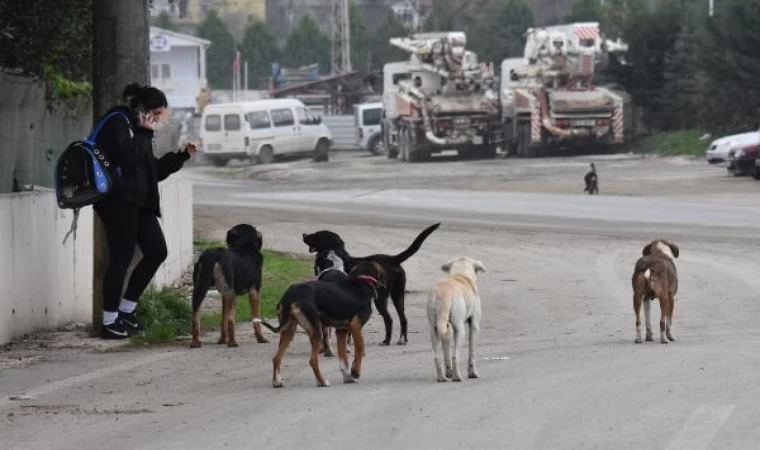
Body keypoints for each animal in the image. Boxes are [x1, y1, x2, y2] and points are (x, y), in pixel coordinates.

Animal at [256, 262, 386, 388]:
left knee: (276, 358)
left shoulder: (341, 331)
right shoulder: (356, 326)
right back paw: (322, 382)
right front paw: (355, 372)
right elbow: (360, 349)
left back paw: (277, 382)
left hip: (289, 330)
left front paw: (348, 378)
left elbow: (343, 360)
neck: (363, 280)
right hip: (316, 330)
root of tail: (291, 294)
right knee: (312, 360)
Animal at [302, 221, 442, 344]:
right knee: (403, 319)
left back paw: (387, 341)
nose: (303, 234)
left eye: (317, 235)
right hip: (398, 295)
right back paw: (401, 340)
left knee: (389, 319)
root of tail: (393, 259)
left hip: (380, 298)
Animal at [428, 256, 486, 384]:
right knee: (455, 356)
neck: (460, 275)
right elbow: (472, 352)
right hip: (460, 330)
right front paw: (473, 373)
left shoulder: (447, 328)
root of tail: (443, 293)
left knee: (437, 356)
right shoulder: (474, 325)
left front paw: (448, 373)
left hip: (434, 329)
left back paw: (442, 378)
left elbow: (446, 352)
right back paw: (457, 377)